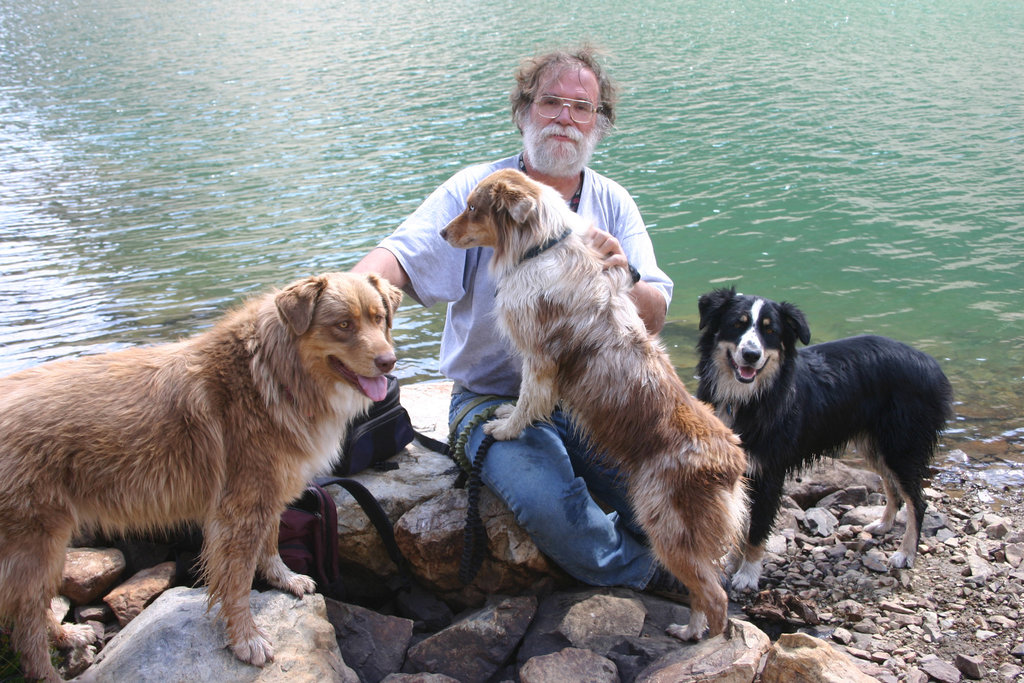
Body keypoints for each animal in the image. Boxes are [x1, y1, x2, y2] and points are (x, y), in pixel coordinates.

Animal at [0, 270, 401, 679]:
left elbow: (270, 542)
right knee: (26, 626)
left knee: (30, 607)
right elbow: (237, 582)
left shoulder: (266, 495)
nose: (389, 362)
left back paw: (67, 636)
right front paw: (246, 639)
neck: (272, 376)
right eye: (343, 325)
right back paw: (48, 672)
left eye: (379, 319)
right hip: (35, 541)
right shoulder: (241, 508)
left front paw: (283, 579)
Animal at [438, 169, 745, 643]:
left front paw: (505, 429)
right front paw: (503, 414)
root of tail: (731, 460)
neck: (539, 248)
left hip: (666, 523)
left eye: (473, 208)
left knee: (714, 595)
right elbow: (524, 398)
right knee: (705, 586)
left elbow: (529, 397)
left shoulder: (539, 356)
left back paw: (697, 640)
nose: (442, 233)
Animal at [696, 286, 950, 593]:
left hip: (902, 447)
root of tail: (931, 364)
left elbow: (756, 530)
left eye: (771, 331)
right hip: (875, 445)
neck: (748, 398)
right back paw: (883, 525)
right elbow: (741, 523)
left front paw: (747, 574)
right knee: (893, 489)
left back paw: (906, 553)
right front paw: (732, 565)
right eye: (737, 324)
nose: (751, 354)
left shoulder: (770, 472)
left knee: (917, 501)